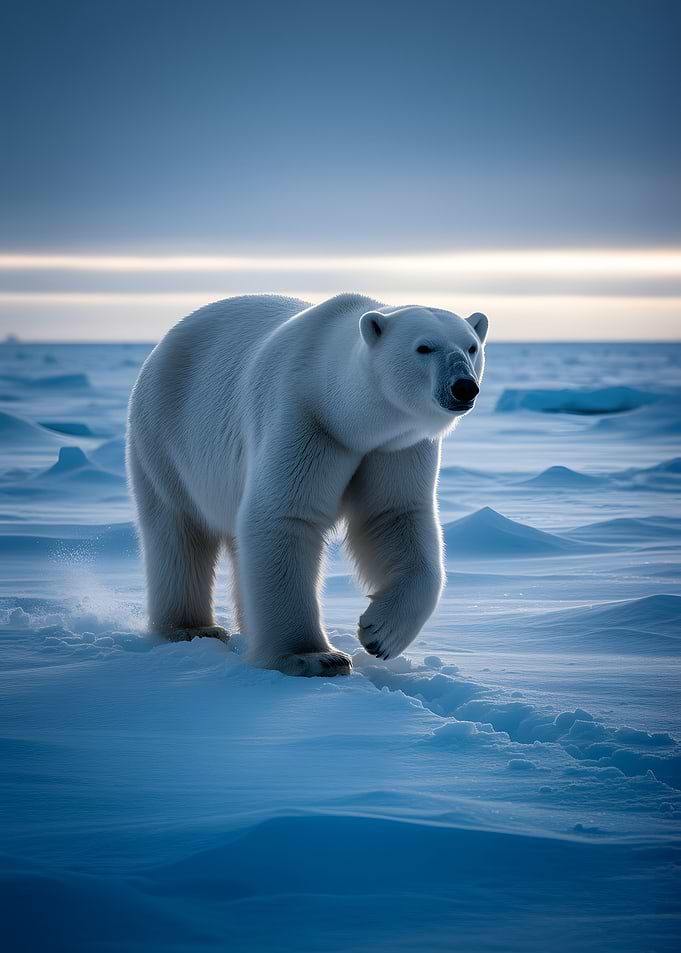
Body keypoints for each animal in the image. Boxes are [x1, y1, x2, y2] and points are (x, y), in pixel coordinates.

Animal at [126, 294, 488, 676]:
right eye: (424, 347)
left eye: (471, 346)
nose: (464, 386)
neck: (342, 409)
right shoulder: (304, 420)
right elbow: (284, 516)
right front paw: (315, 656)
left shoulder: (393, 447)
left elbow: (393, 516)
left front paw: (380, 634)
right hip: (164, 439)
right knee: (178, 531)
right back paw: (191, 627)